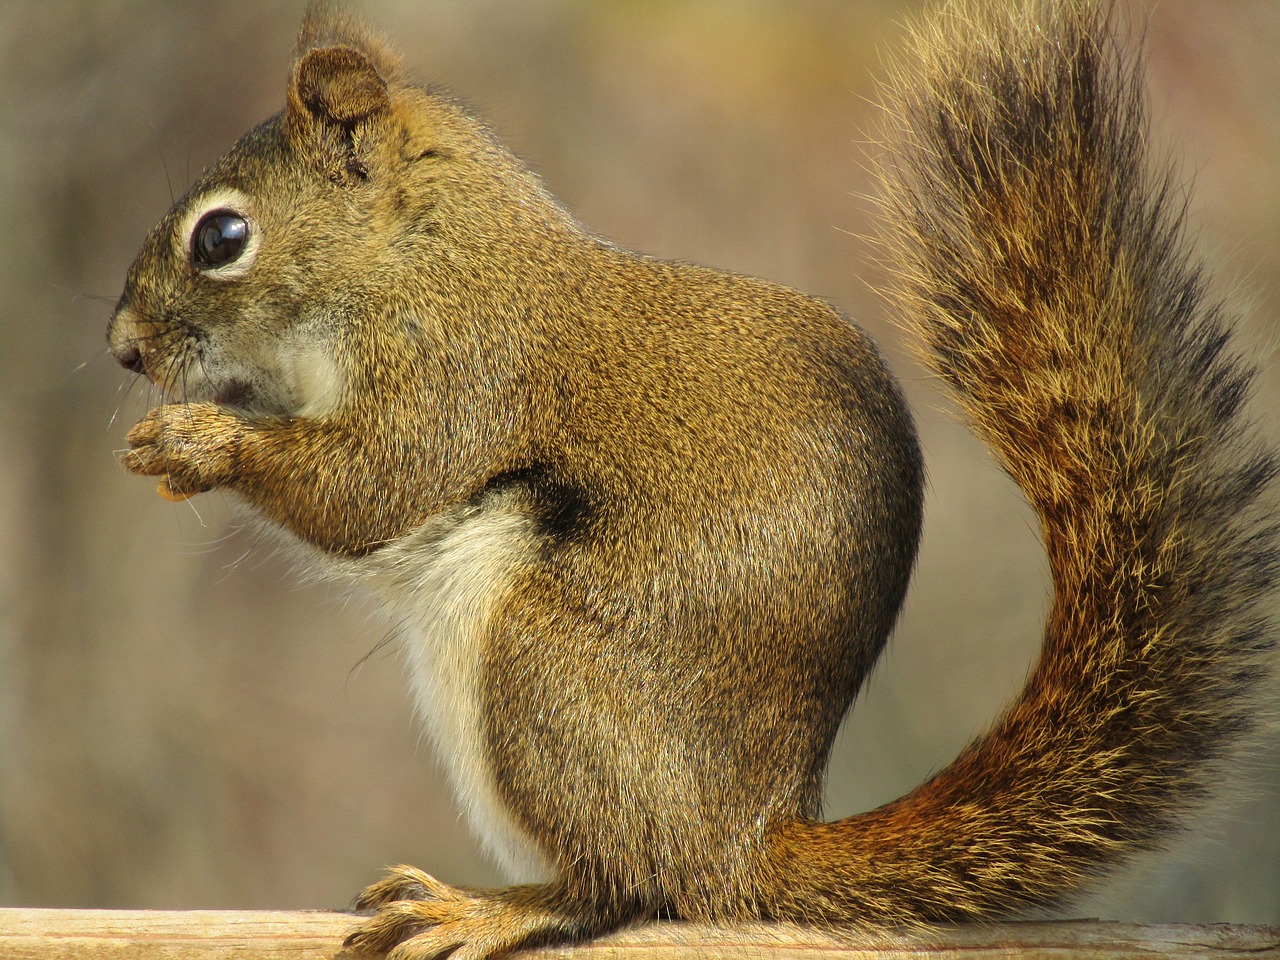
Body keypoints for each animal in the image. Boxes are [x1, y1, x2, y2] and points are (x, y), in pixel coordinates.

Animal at [107, 0, 1269, 957]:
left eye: (222, 236)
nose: (121, 349)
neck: (419, 250)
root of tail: (744, 838)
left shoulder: (458, 368)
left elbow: (375, 485)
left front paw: (198, 444)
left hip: (543, 665)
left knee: (630, 885)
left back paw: (489, 909)